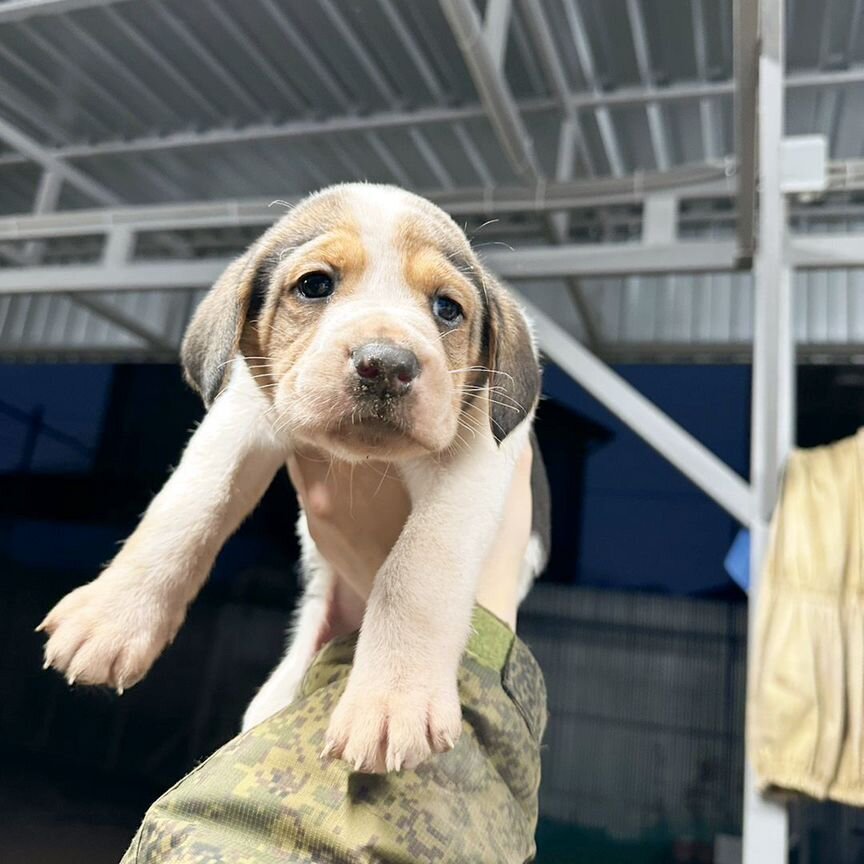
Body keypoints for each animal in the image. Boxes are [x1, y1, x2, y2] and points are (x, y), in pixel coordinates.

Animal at [37, 184, 552, 776]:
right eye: (314, 285)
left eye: (447, 308)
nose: (387, 364)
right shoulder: (240, 414)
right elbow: (188, 503)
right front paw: (112, 617)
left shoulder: (474, 460)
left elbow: (417, 568)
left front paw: (393, 699)